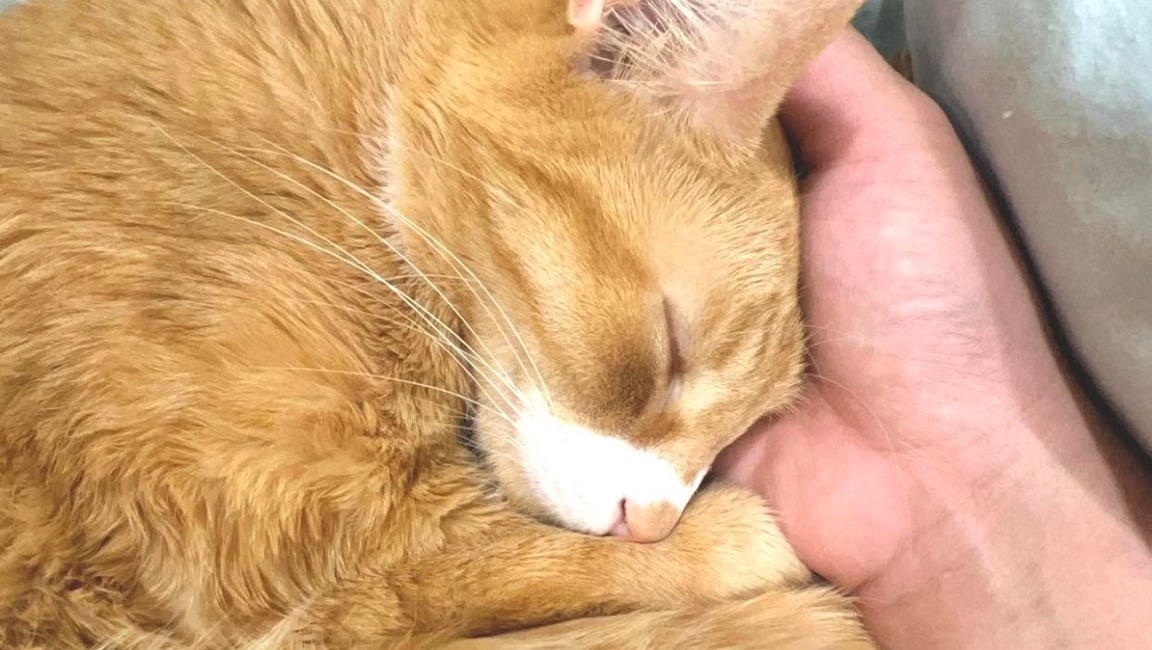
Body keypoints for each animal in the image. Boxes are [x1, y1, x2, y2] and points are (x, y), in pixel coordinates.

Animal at [0, 0, 875, 647]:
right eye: (671, 352)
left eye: (747, 427)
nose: (651, 526)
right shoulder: (299, 555)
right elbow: (505, 567)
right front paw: (736, 546)